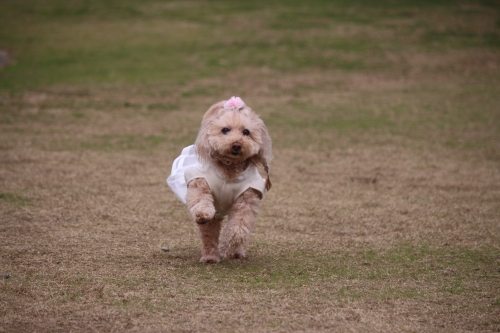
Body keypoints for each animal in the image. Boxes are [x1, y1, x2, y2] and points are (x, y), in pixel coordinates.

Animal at [184, 96, 272, 262]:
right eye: (225, 129)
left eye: (246, 132)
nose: (236, 145)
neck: (229, 170)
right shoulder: (200, 181)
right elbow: (200, 200)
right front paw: (202, 213)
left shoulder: (247, 200)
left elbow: (238, 229)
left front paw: (225, 249)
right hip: (215, 215)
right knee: (208, 235)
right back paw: (210, 257)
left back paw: (235, 253)